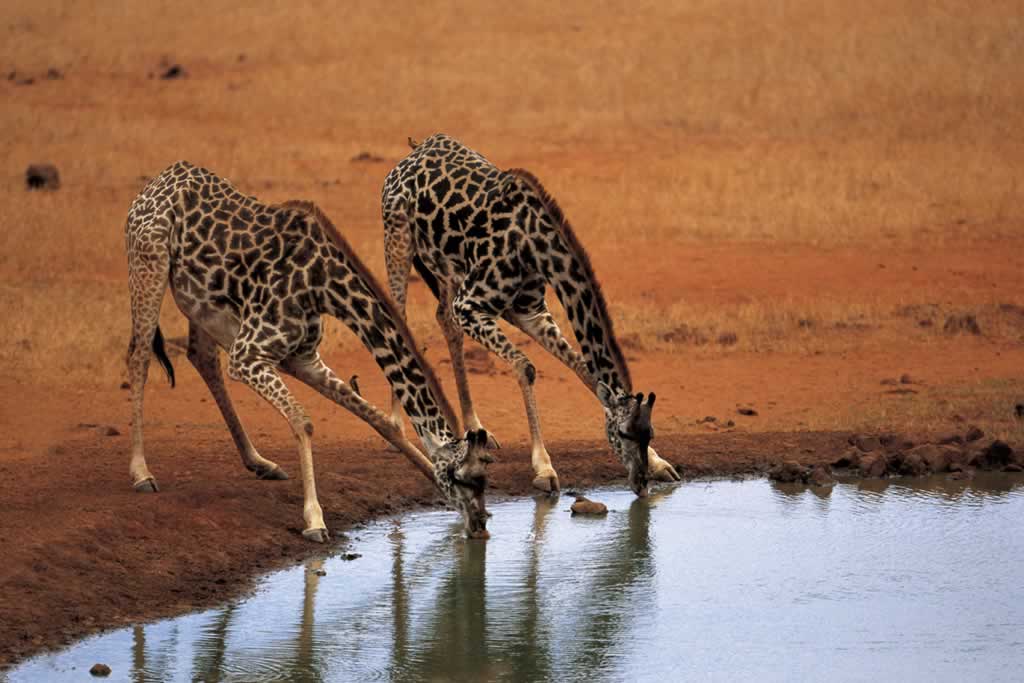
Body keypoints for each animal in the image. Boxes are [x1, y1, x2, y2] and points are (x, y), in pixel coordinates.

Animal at [123, 160, 491, 544]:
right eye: (462, 478)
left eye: (485, 478)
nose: (480, 526)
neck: (323, 287)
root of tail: (161, 178)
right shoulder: (247, 356)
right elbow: (304, 421)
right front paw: (315, 520)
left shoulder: (302, 358)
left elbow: (379, 421)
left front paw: (426, 474)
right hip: (148, 264)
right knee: (139, 356)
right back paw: (142, 473)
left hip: (200, 305)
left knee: (201, 356)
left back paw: (260, 462)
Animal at [382, 135, 679, 497]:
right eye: (622, 434)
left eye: (650, 433)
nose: (640, 483)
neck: (535, 246)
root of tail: (416, 148)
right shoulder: (470, 306)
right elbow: (526, 367)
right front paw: (544, 468)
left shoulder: (529, 311)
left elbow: (584, 371)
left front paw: (659, 463)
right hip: (399, 242)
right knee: (398, 316)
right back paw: (398, 424)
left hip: (446, 269)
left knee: (444, 321)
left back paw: (471, 428)